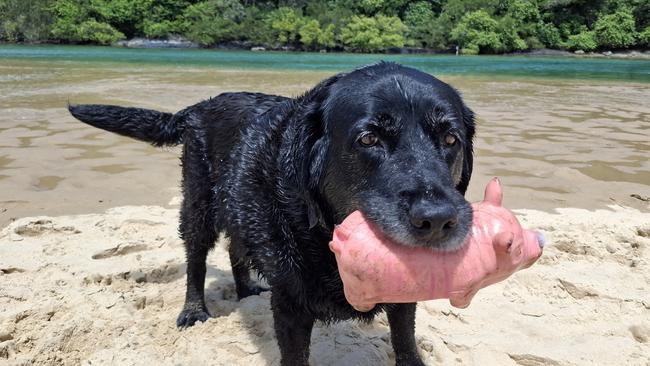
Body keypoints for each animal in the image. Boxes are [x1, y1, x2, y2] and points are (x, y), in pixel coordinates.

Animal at [69, 63, 470, 366]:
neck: (323, 235)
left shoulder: (402, 298)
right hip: (199, 207)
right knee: (196, 258)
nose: (437, 219)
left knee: (236, 247)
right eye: (369, 139)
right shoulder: (290, 304)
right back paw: (194, 310)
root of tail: (199, 106)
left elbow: (405, 341)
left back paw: (246, 289)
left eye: (451, 139)